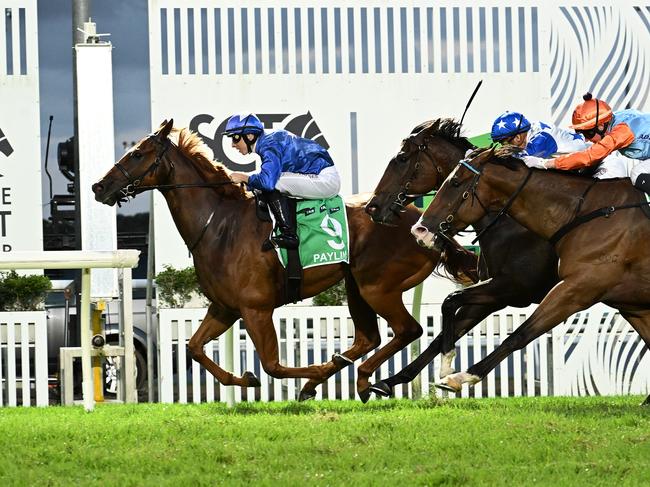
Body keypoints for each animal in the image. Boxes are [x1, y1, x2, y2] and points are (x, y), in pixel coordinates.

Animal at [91, 120, 476, 402]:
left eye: (137, 154)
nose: (99, 187)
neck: (219, 223)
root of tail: (425, 222)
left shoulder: (256, 308)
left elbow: (272, 365)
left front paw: (307, 374)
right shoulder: (224, 308)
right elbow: (195, 348)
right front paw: (245, 379)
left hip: (377, 286)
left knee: (408, 330)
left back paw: (362, 379)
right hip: (356, 285)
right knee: (369, 338)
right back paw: (344, 378)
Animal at [362, 120, 556, 398]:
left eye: (402, 158)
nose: (372, 207)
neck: (507, 223)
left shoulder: (512, 288)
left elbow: (449, 310)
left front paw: (447, 372)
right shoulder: (492, 296)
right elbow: (442, 334)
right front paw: (392, 380)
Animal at [410, 147, 648, 406]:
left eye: (455, 182)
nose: (419, 230)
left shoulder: (573, 289)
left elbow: (519, 335)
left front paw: (458, 377)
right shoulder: (629, 303)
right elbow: (450, 302)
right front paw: (440, 366)